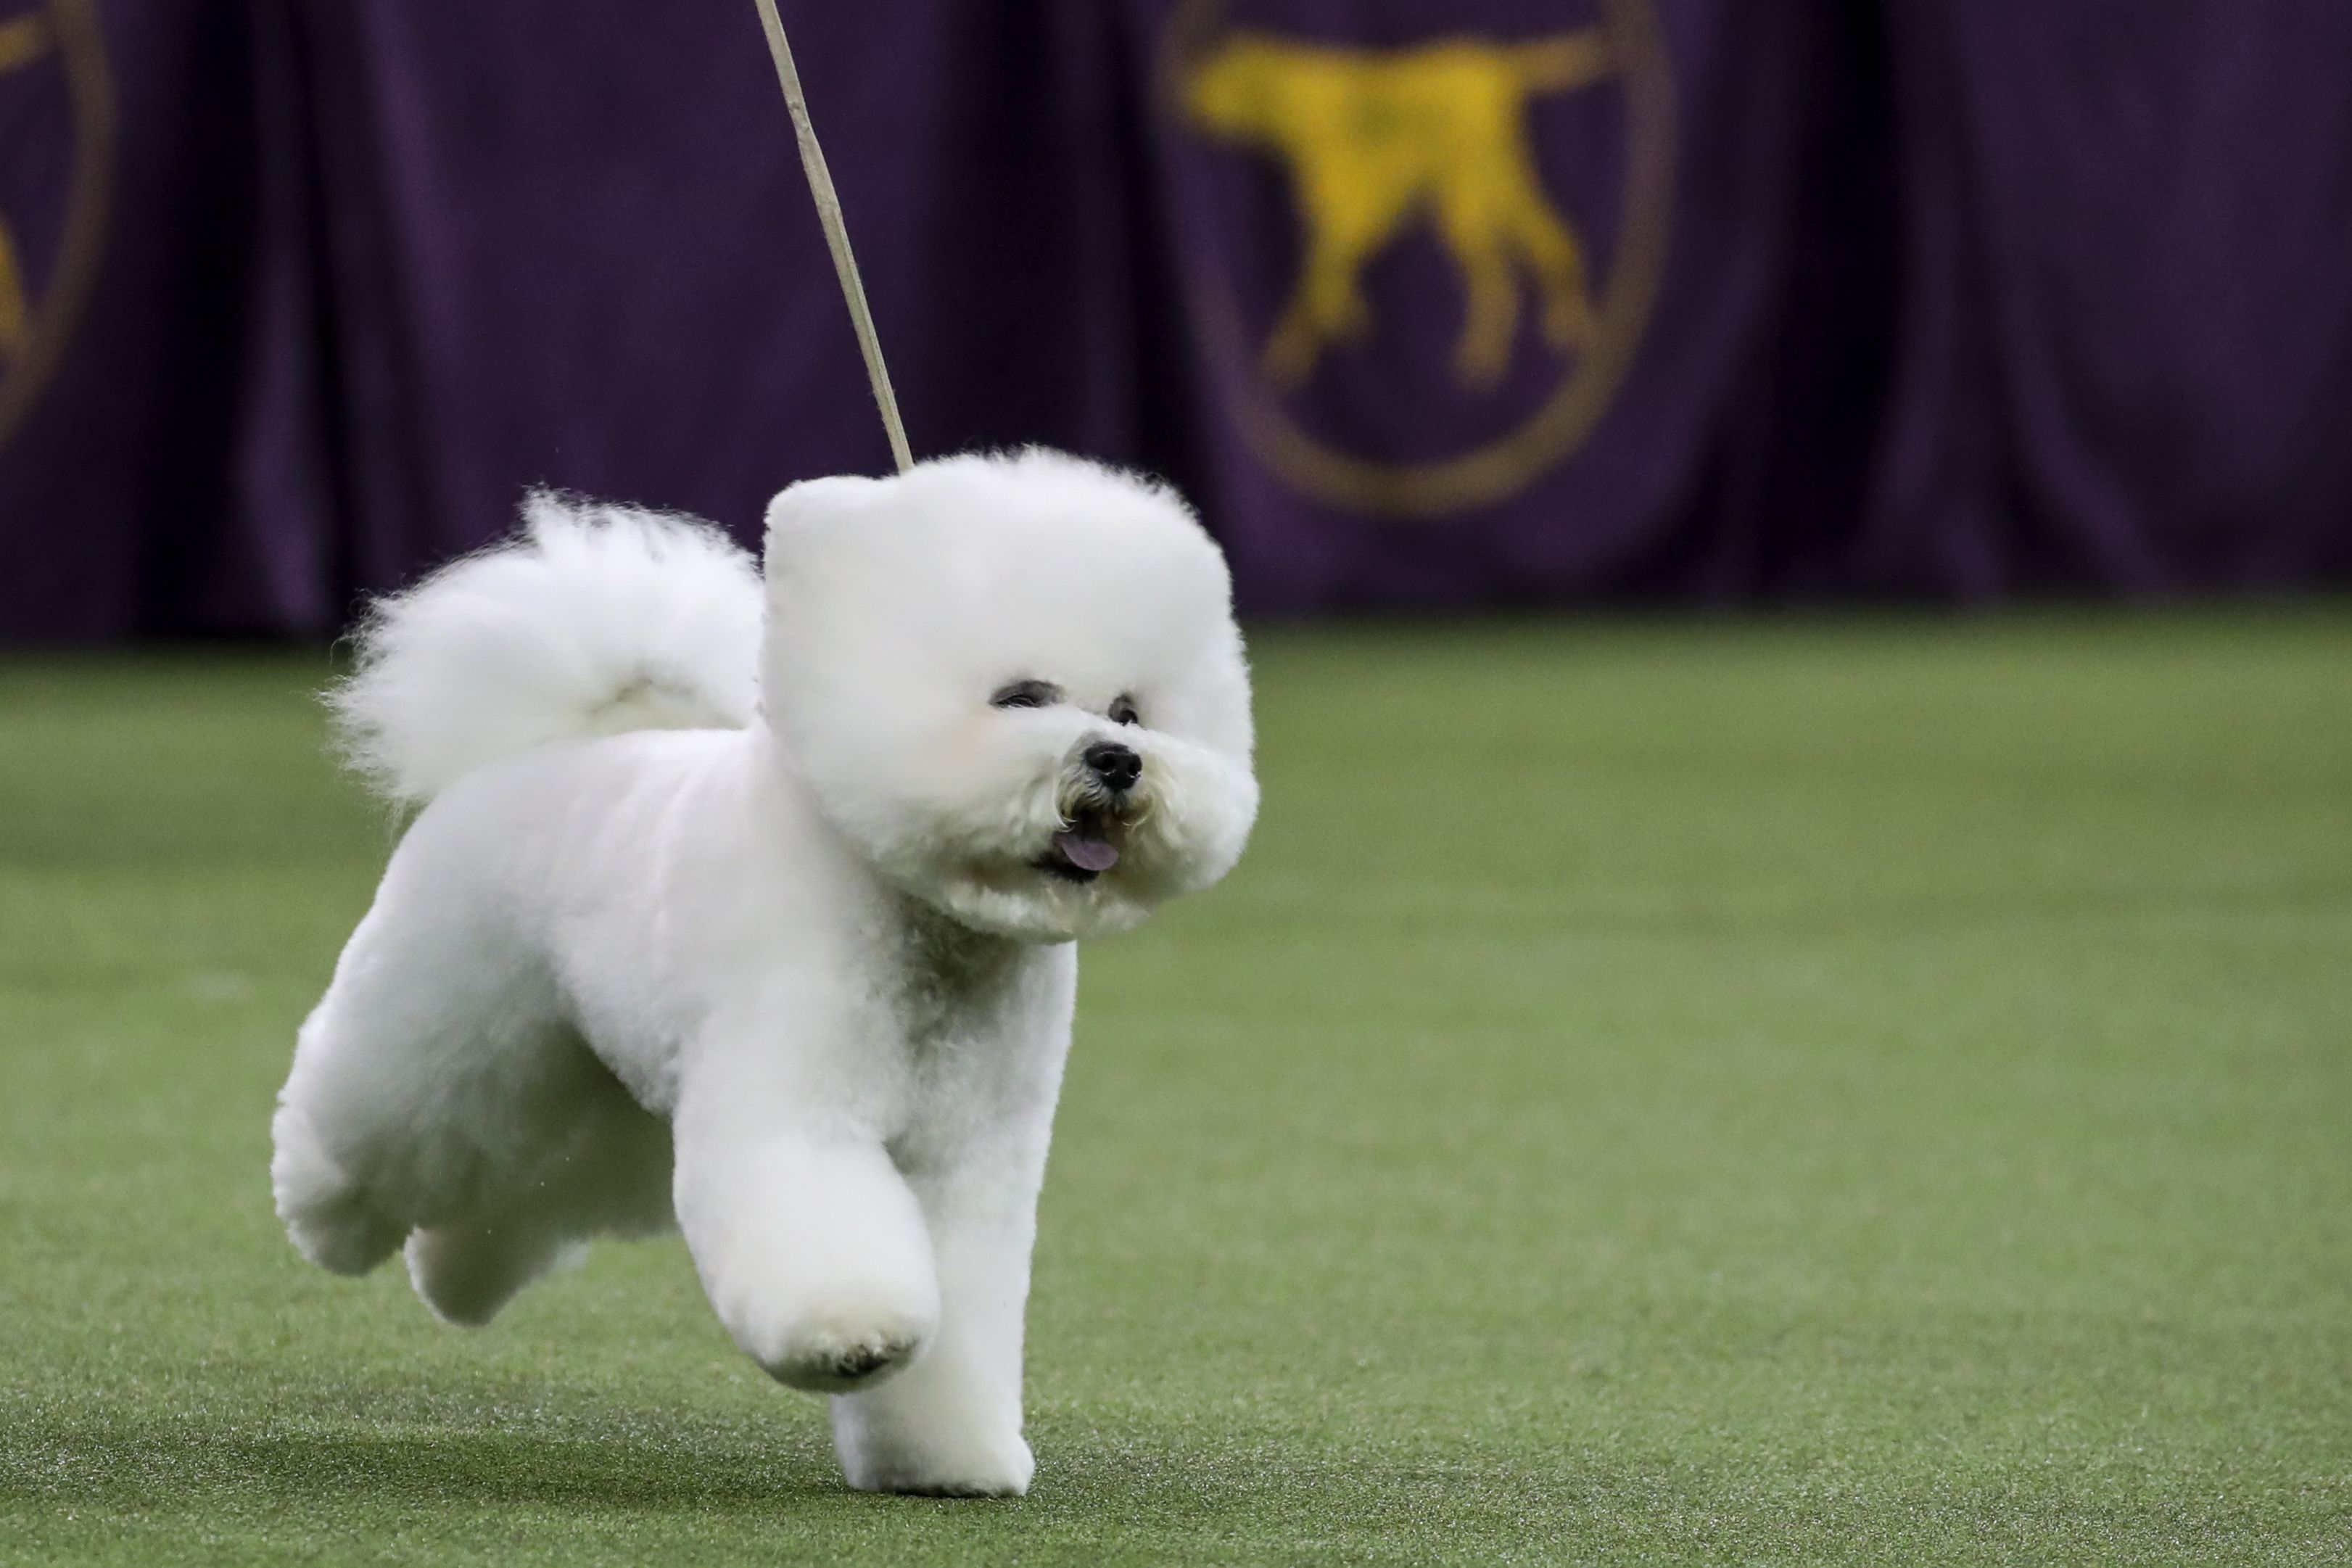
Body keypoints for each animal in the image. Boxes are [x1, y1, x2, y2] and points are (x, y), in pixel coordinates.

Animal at [269, 451, 1260, 1495]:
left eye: (1130, 711)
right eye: (1021, 697)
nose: (1118, 759)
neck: (928, 930)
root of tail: (562, 747)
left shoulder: (968, 1164)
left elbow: (964, 1313)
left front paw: (945, 1457)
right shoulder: (797, 1109)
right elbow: (826, 1244)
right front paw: (854, 1337)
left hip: (602, 1093)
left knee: (528, 1184)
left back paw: (455, 1276)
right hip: (450, 1021)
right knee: (376, 1121)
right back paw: (322, 1207)